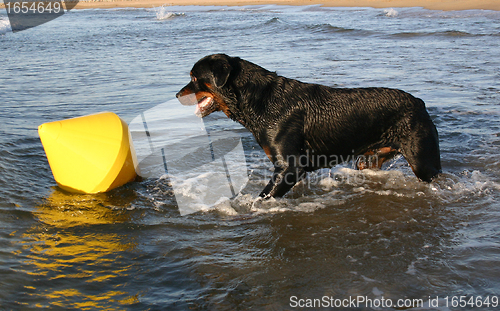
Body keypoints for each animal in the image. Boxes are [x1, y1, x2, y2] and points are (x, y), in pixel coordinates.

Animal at [177, 54, 442, 199]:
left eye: (194, 78)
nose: (177, 95)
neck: (260, 100)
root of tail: (419, 103)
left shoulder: (290, 167)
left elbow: (263, 198)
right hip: (371, 157)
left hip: (422, 157)